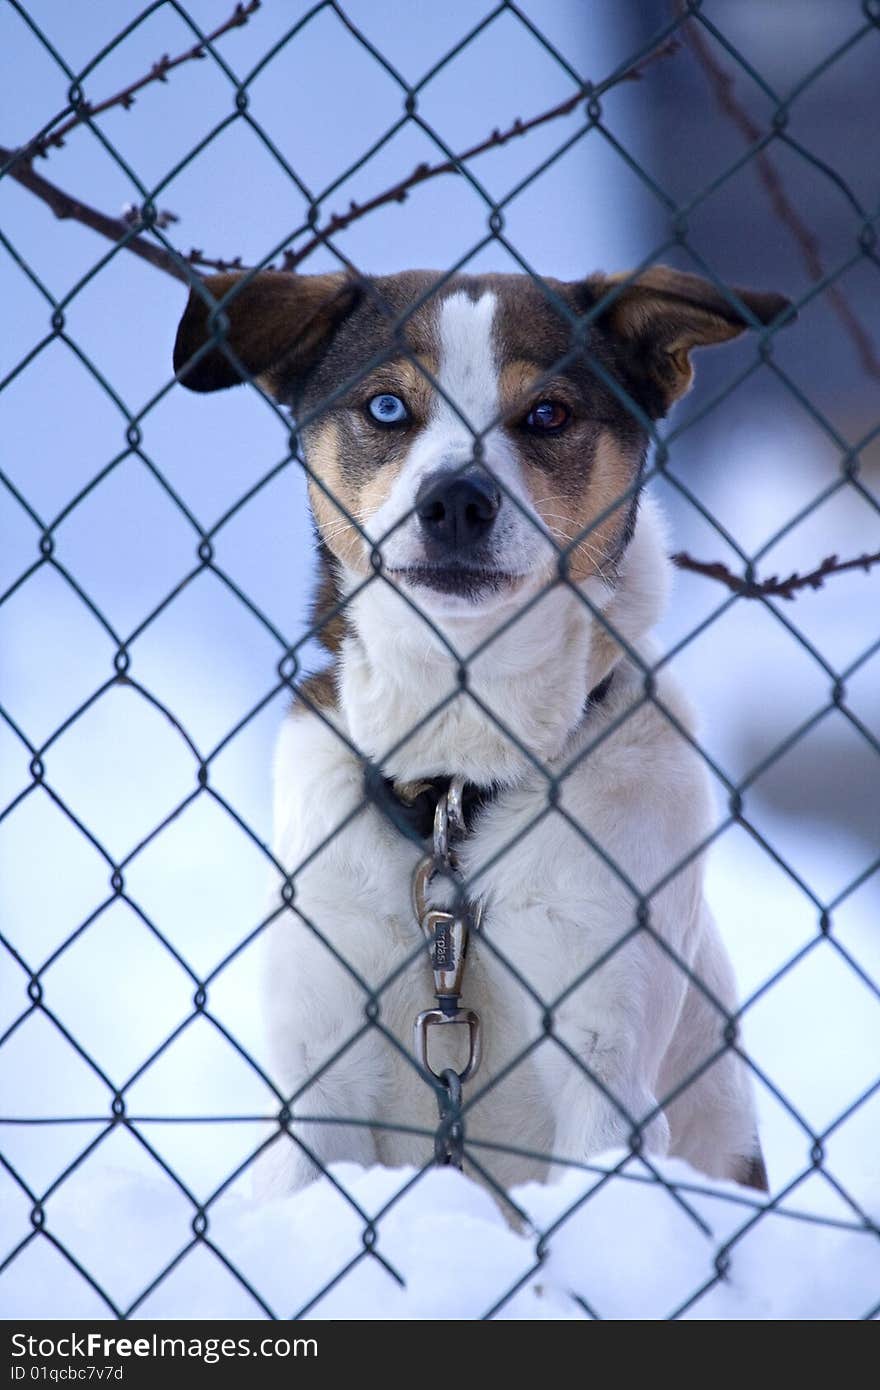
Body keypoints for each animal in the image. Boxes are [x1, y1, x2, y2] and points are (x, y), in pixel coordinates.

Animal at [173, 261, 789, 1195]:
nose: (456, 501)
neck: (454, 778)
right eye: (387, 406)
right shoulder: (319, 1072)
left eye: (549, 414)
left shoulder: (604, 1067)